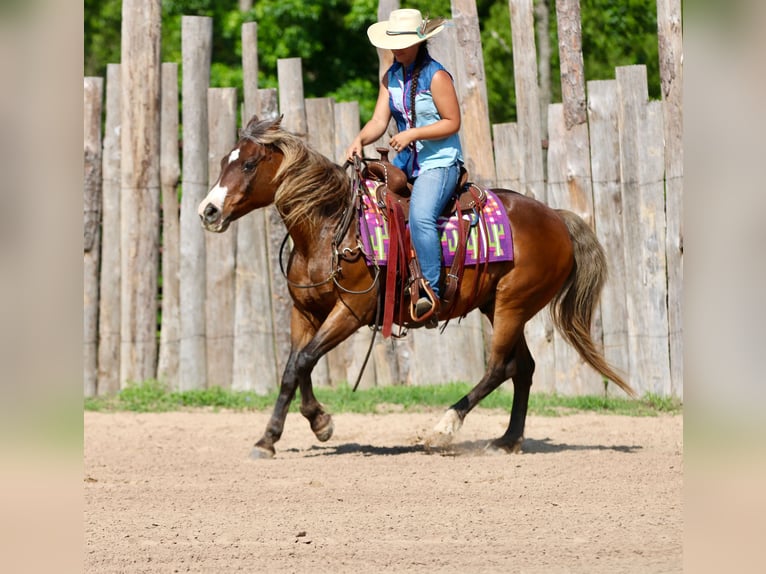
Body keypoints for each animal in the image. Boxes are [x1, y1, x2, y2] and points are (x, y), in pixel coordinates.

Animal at [198, 115, 635, 459]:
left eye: (249, 163)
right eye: (223, 161)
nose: (208, 211)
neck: (328, 228)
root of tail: (557, 218)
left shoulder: (350, 313)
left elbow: (305, 360)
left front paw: (312, 425)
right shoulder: (304, 312)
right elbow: (294, 367)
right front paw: (278, 435)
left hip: (513, 304)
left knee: (500, 367)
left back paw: (445, 428)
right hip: (497, 306)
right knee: (523, 368)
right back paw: (507, 440)